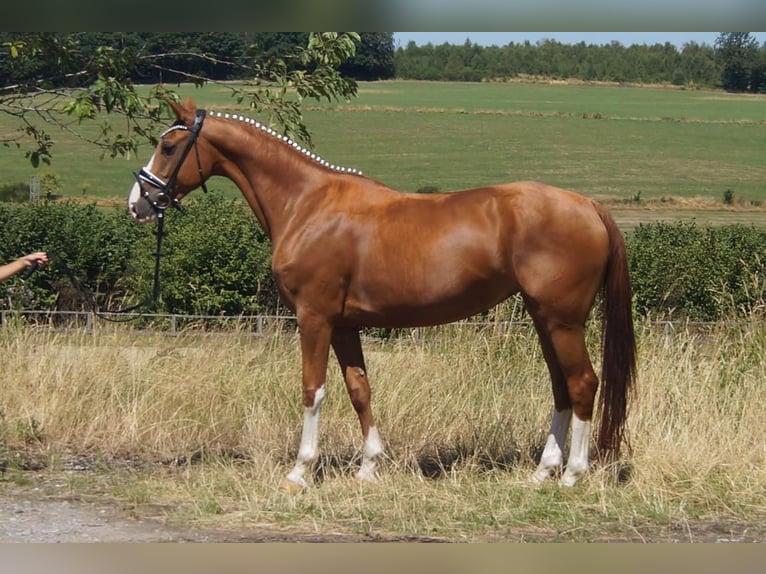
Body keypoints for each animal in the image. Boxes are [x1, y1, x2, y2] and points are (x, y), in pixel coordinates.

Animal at [128, 97, 636, 490]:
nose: (138, 203)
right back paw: (542, 472)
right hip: (543, 318)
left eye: (168, 145)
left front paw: (300, 472)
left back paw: (572, 475)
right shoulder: (344, 325)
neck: (307, 204)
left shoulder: (314, 318)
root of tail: (587, 205)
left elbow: (313, 389)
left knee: (582, 383)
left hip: (562, 320)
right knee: (561, 388)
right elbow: (359, 389)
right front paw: (369, 467)